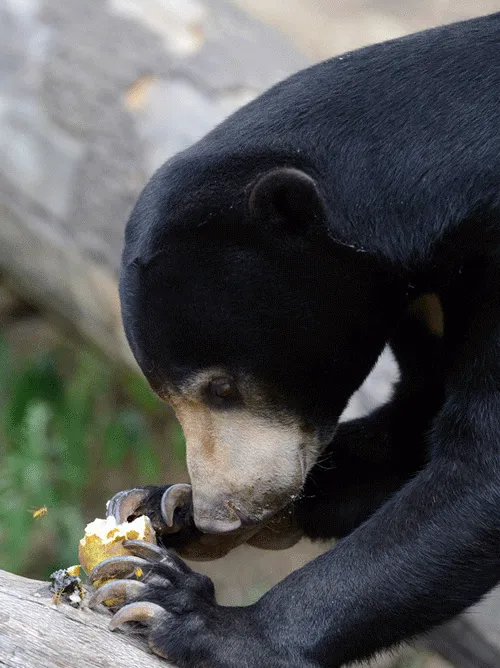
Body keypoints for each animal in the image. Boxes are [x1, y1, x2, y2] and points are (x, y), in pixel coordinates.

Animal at [92, 11, 500, 668]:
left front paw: (186, 613)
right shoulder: (423, 299)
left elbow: (478, 467)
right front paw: (164, 506)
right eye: (166, 396)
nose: (222, 512)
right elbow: (412, 425)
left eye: (223, 388)